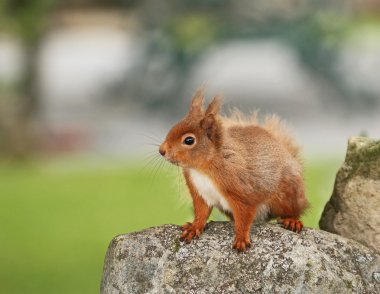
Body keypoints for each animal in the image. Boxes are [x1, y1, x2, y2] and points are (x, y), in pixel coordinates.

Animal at [157, 87, 308, 250]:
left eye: (189, 140)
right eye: (173, 127)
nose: (162, 151)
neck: (202, 168)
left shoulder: (241, 192)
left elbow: (244, 218)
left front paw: (241, 238)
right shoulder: (200, 192)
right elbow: (201, 212)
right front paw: (194, 227)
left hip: (287, 193)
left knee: (294, 209)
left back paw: (292, 220)